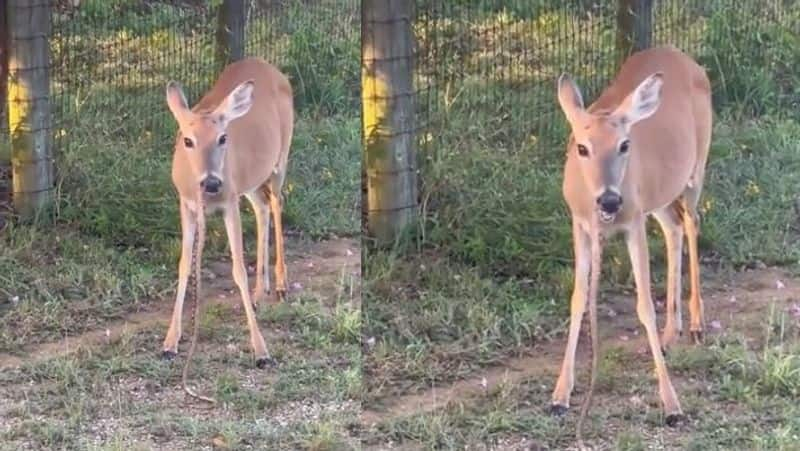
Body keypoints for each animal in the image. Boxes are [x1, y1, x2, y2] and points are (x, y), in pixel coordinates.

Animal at [159, 57, 294, 388]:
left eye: (222, 138)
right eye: (187, 140)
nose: (211, 182)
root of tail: (269, 66)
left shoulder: (229, 201)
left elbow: (238, 270)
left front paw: (262, 352)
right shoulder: (187, 204)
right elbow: (184, 265)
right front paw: (170, 342)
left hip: (280, 158)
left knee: (276, 203)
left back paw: (281, 284)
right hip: (251, 180)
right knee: (262, 207)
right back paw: (260, 293)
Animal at [552, 46, 712, 434]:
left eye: (625, 144)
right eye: (582, 147)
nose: (610, 200)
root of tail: (682, 55)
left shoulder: (633, 222)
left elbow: (644, 306)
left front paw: (672, 405)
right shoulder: (580, 224)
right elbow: (578, 299)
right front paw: (560, 395)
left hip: (696, 166)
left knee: (692, 222)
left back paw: (696, 324)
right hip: (659, 196)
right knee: (674, 227)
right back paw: (671, 335)